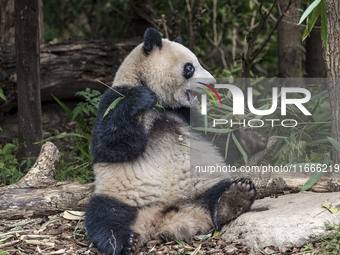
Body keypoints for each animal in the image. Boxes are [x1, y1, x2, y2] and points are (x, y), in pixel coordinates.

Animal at [86, 27, 258, 255]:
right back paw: (125, 242)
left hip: (204, 183)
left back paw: (234, 198)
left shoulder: (186, 114)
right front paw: (141, 97)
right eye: (189, 68)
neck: (162, 103)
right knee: (103, 216)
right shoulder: (112, 100)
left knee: (217, 193)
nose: (212, 83)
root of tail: (166, 218)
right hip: (119, 196)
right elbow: (108, 145)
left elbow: (217, 138)